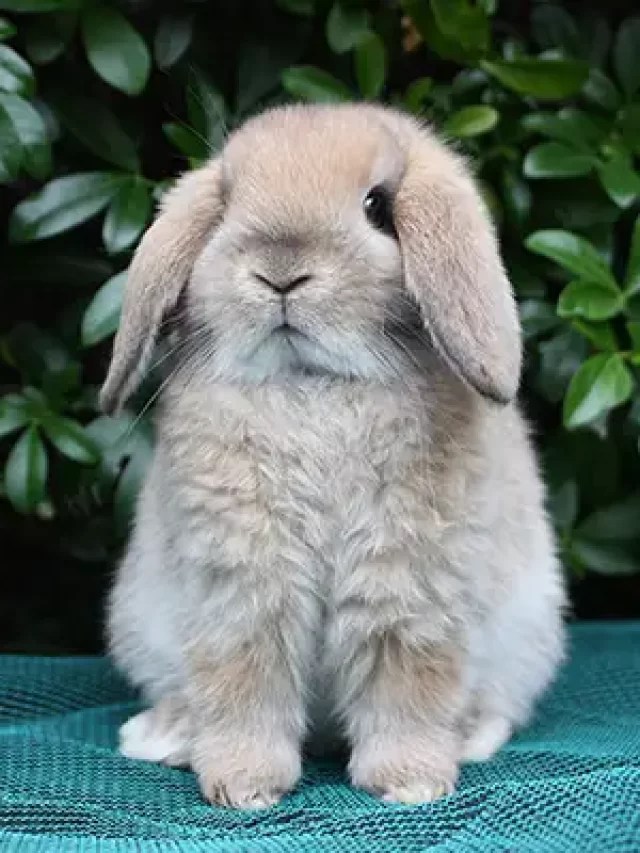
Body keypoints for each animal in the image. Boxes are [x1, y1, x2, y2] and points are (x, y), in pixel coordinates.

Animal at [102, 102, 566, 809]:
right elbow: (242, 682)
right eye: (226, 204)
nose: (281, 271)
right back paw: (164, 736)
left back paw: (469, 738)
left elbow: (407, 684)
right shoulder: (241, 588)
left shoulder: (407, 587)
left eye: (378, 206)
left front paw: (410, 783)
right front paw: (244, 788)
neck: (312, 386)